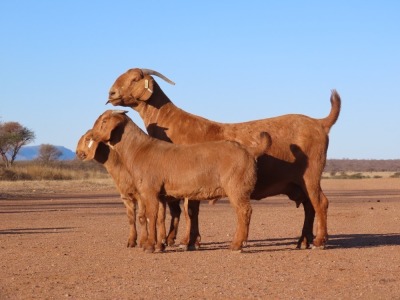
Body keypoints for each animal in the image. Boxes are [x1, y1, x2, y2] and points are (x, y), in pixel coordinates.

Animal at [90, 110, 272, 253]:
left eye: (104, 121)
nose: (92, 135)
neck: (139, 149)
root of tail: (250, 150)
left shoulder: (149, 190)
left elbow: (150, 216)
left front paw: (149, 246)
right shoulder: (160, 194)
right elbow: (160, 217)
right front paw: (160, 245)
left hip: (236, 187)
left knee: (244, 212)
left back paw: (236, 245)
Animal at [106, 68, 340, 248]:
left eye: (134, 79)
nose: (111, 92)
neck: (172, 124)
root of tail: (320, 123)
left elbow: (189, 211)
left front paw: (187, 241)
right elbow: (186, 211)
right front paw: (187, 240)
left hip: (310, 176)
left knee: (321, 203)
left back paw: (319, 241)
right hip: (299, 183)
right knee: (309, 207)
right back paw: (303, 240)